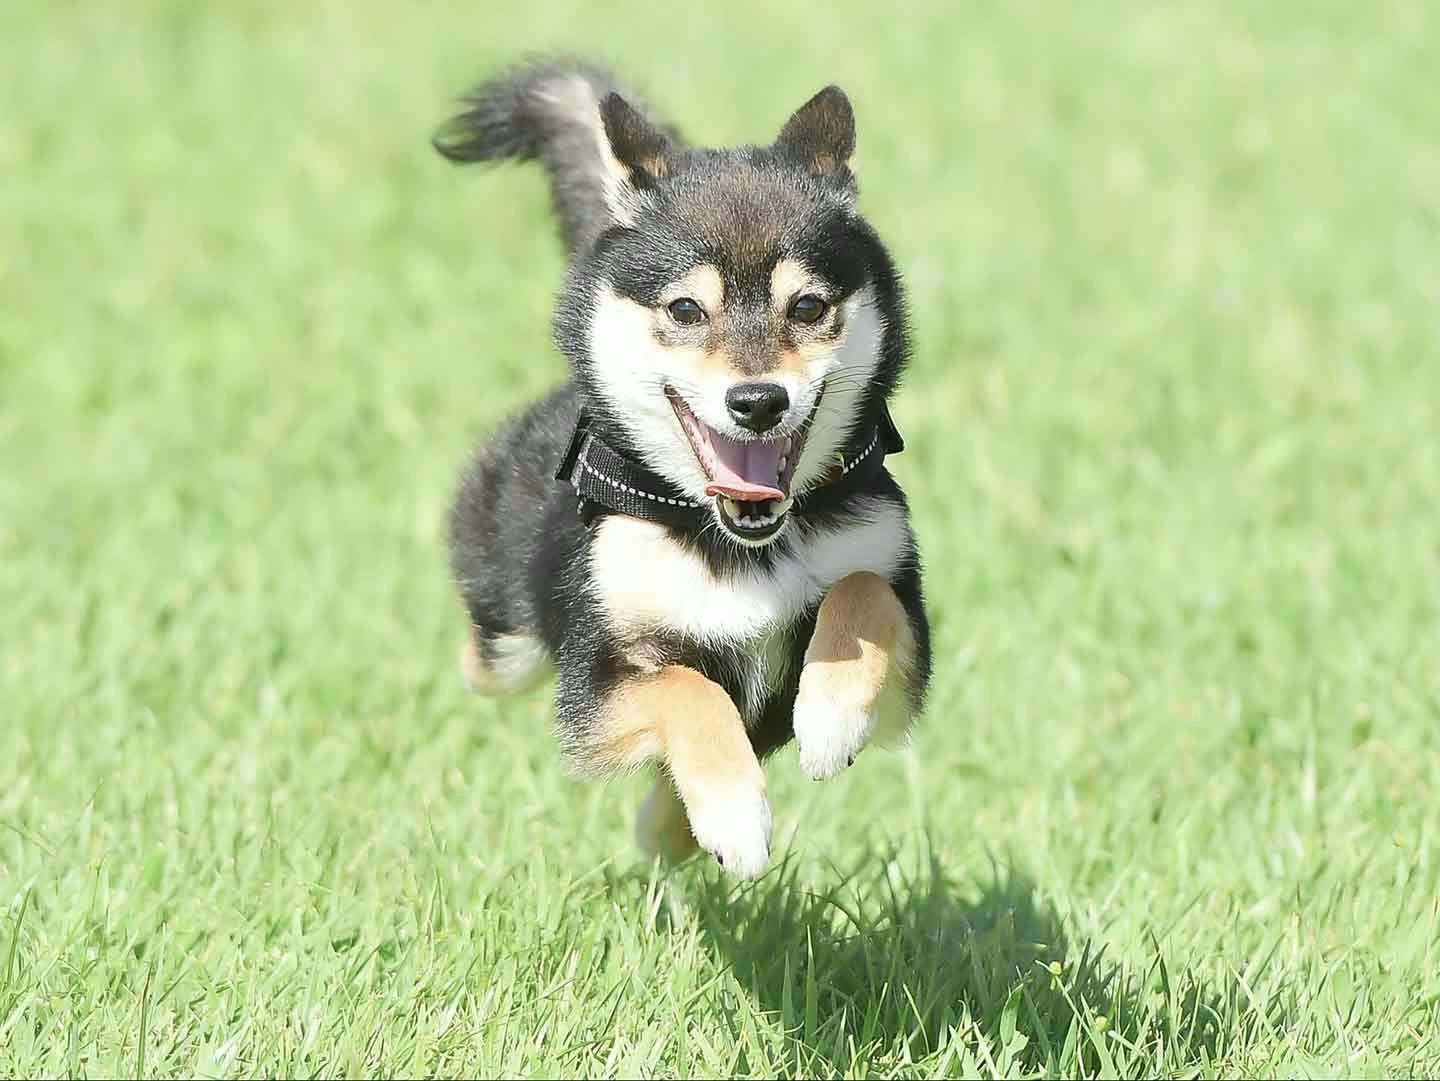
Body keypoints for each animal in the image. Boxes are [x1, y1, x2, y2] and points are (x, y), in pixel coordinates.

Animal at [434, 59, 933, 880]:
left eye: (808, 306)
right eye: (687, 310)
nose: (758, 401)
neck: (743, 541)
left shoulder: (905, 649)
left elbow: (862, 593)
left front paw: (829, 717)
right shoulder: (595, 688)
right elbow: (686, 690)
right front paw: (732, 809)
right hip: (509, 642)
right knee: (486, 654)